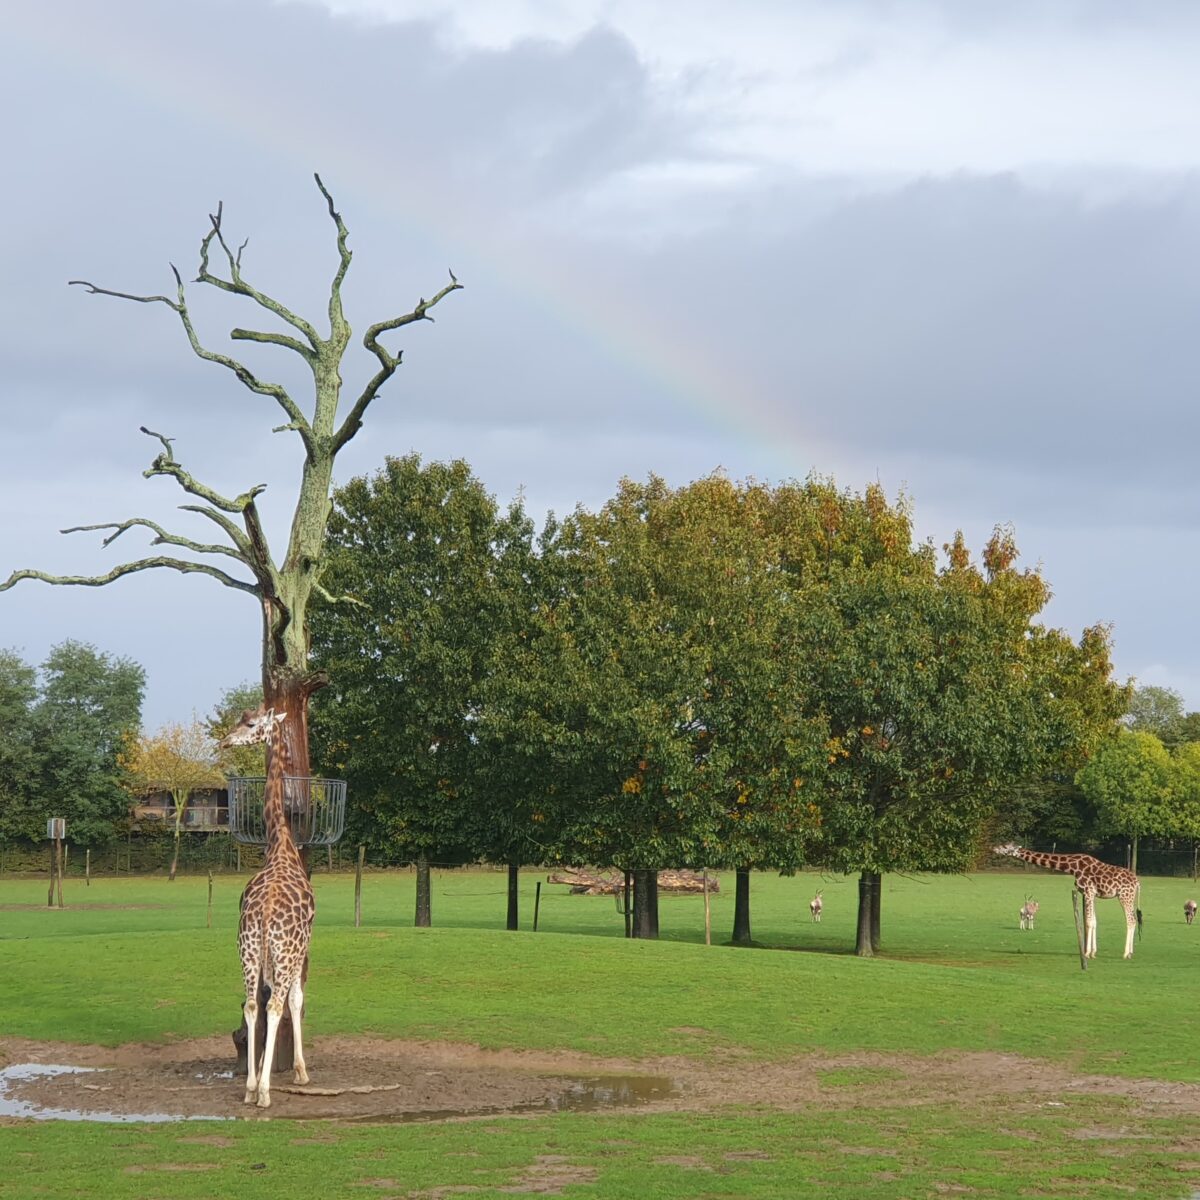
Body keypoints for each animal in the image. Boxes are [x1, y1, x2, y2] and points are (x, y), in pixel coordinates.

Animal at [993, 844, 1140, 959]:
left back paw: (1126, 953)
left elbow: (1088, 922)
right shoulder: (1092, 894)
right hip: (1130, 897)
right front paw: (1093, 952)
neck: (1072, 867)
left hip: (1124, 896)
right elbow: (1094, 922)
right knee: (1134, 920)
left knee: (1131, 920)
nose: (994, 848)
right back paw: (1131, 952)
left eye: (1005, 846)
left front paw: (1086, 953)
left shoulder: (1088, 891)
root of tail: (1137, 883)